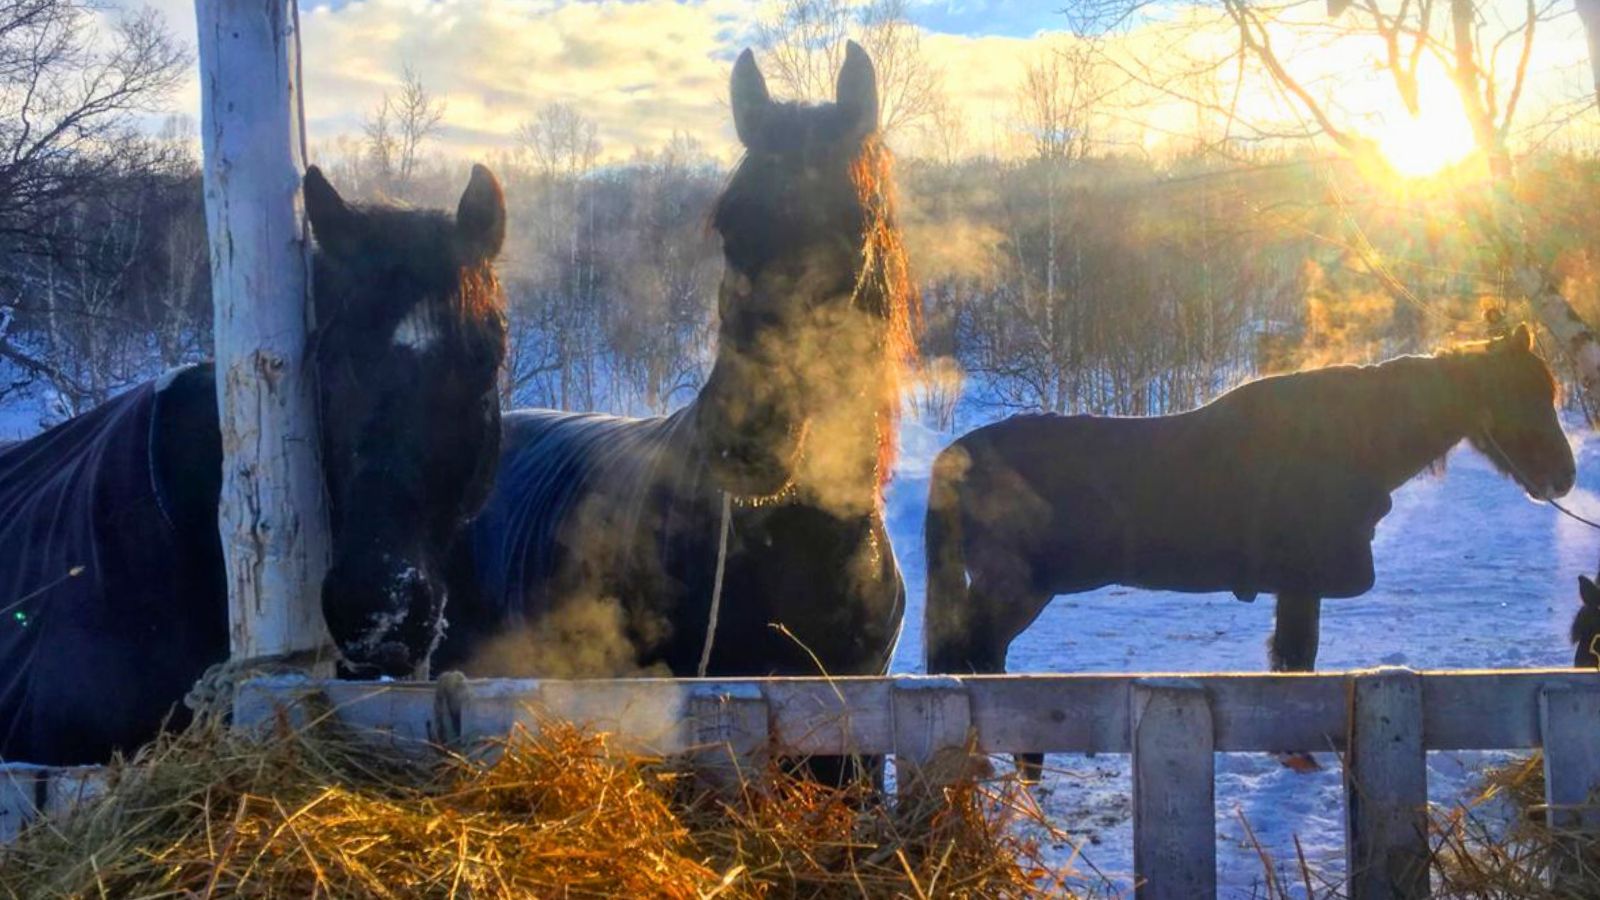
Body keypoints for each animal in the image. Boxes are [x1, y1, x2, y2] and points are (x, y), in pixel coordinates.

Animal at [924, 325, 1575, 776]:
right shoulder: (1304, 582)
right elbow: (1296, 662)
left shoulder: (1297, 587)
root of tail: (957, 456)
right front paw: (1297, 755)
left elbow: (1290, 662)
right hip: (1017, 591)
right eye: (1518, 394)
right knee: (970, 657)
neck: (1344, 444)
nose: (1563, 478)